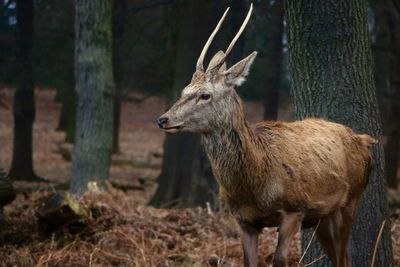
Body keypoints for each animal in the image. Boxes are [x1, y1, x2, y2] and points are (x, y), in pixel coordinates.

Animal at [158, 3, 376, 266]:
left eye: (205, 95)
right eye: (184, 90)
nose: (163, 119)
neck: (255, 183)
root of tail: (363, 139)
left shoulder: (295, 208)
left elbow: (279, 259)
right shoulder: (244, 220)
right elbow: (249, 261)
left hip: (352, 200)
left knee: (345, 256)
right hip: (324, 216)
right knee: (339, 257)